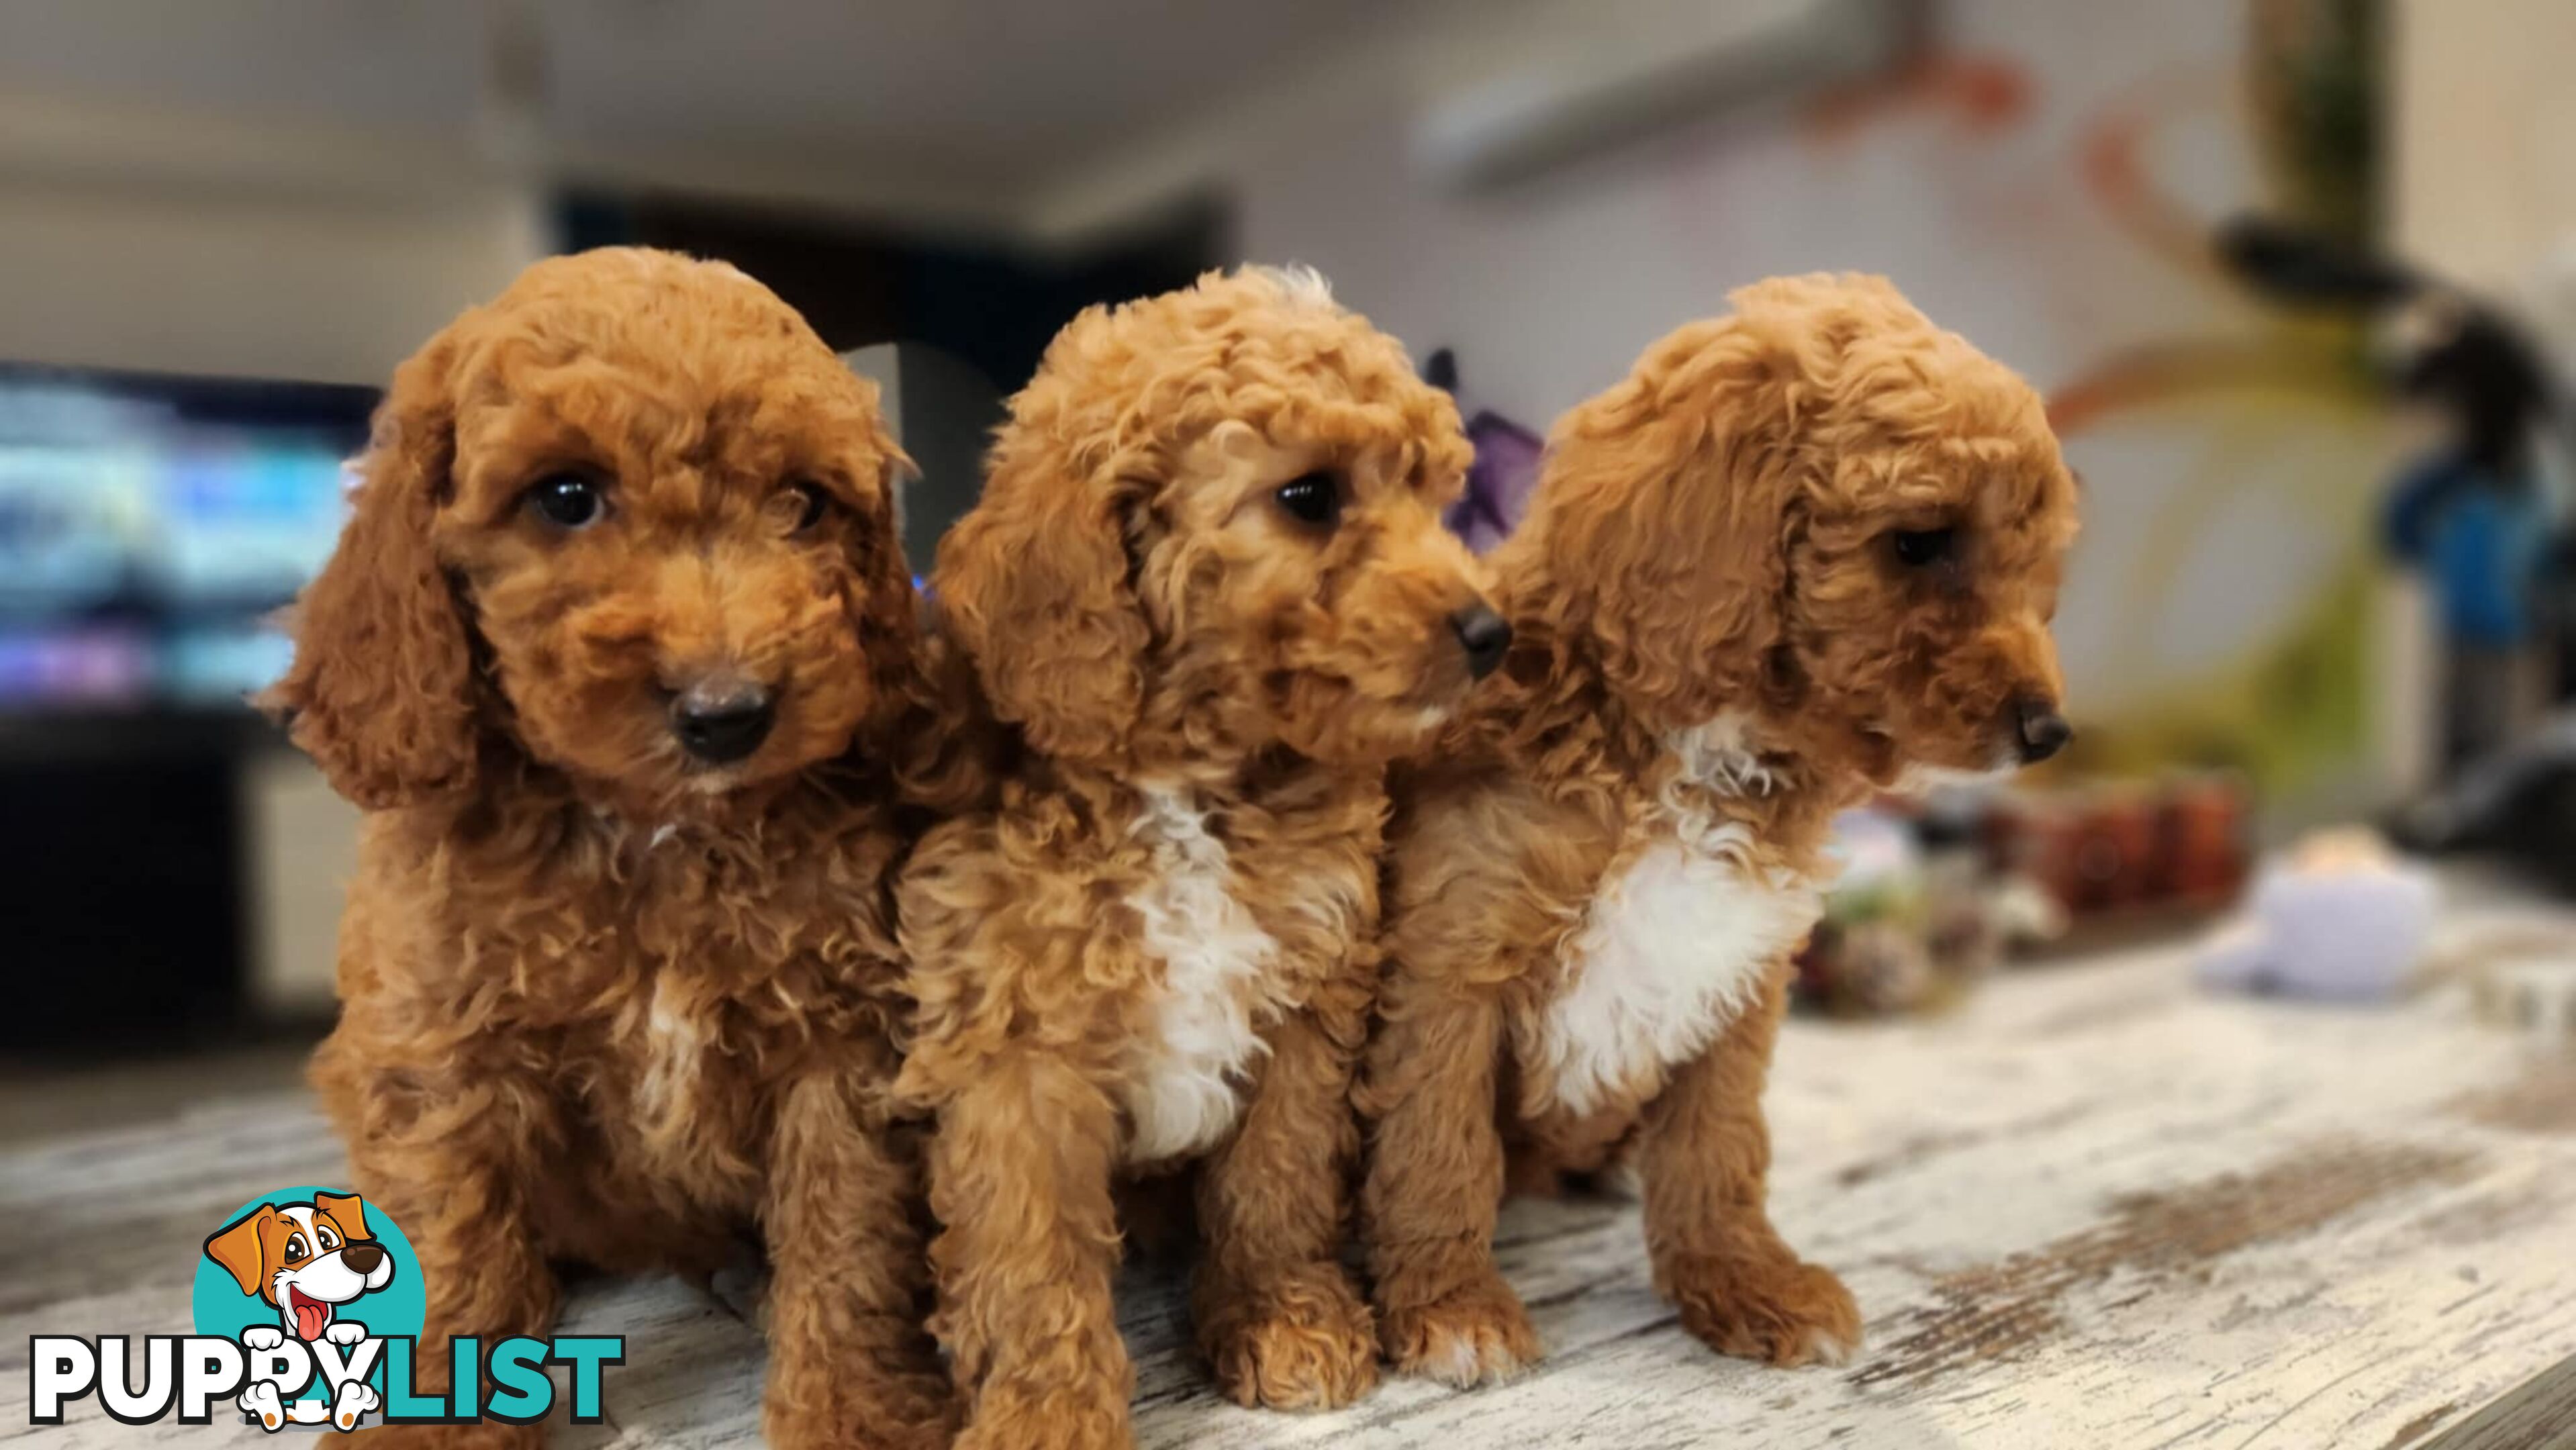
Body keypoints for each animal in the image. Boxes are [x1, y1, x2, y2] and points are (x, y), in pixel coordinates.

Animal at [271, 243, 963, 1442]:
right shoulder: (445, 1052)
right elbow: (456, 1245)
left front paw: (850, 1414)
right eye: (566, 497)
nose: (728, 713)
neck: (654, 830)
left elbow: (846, 1239)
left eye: (803, 503)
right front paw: (441, 1419)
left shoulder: (841, 1043)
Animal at [901, 269, 1504, 1450]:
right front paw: (1048, 1413)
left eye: (1433, 492)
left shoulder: (1302, 996)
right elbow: (1032, 1252)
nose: (1490, 631)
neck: (1188, 781)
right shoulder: (1014, 1040)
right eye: (1309, 497)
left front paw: (1279, 1317)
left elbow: (1274, 1181)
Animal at [1359, 273, 2081, 1380]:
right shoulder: (1450, 964)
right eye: (1918, 541)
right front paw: (1454, 1309)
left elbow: (1717, 1146)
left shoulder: (1735, 971)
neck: (1704, 747)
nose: (2047, 732)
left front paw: (1746, 1282)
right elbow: (1438, 1147)